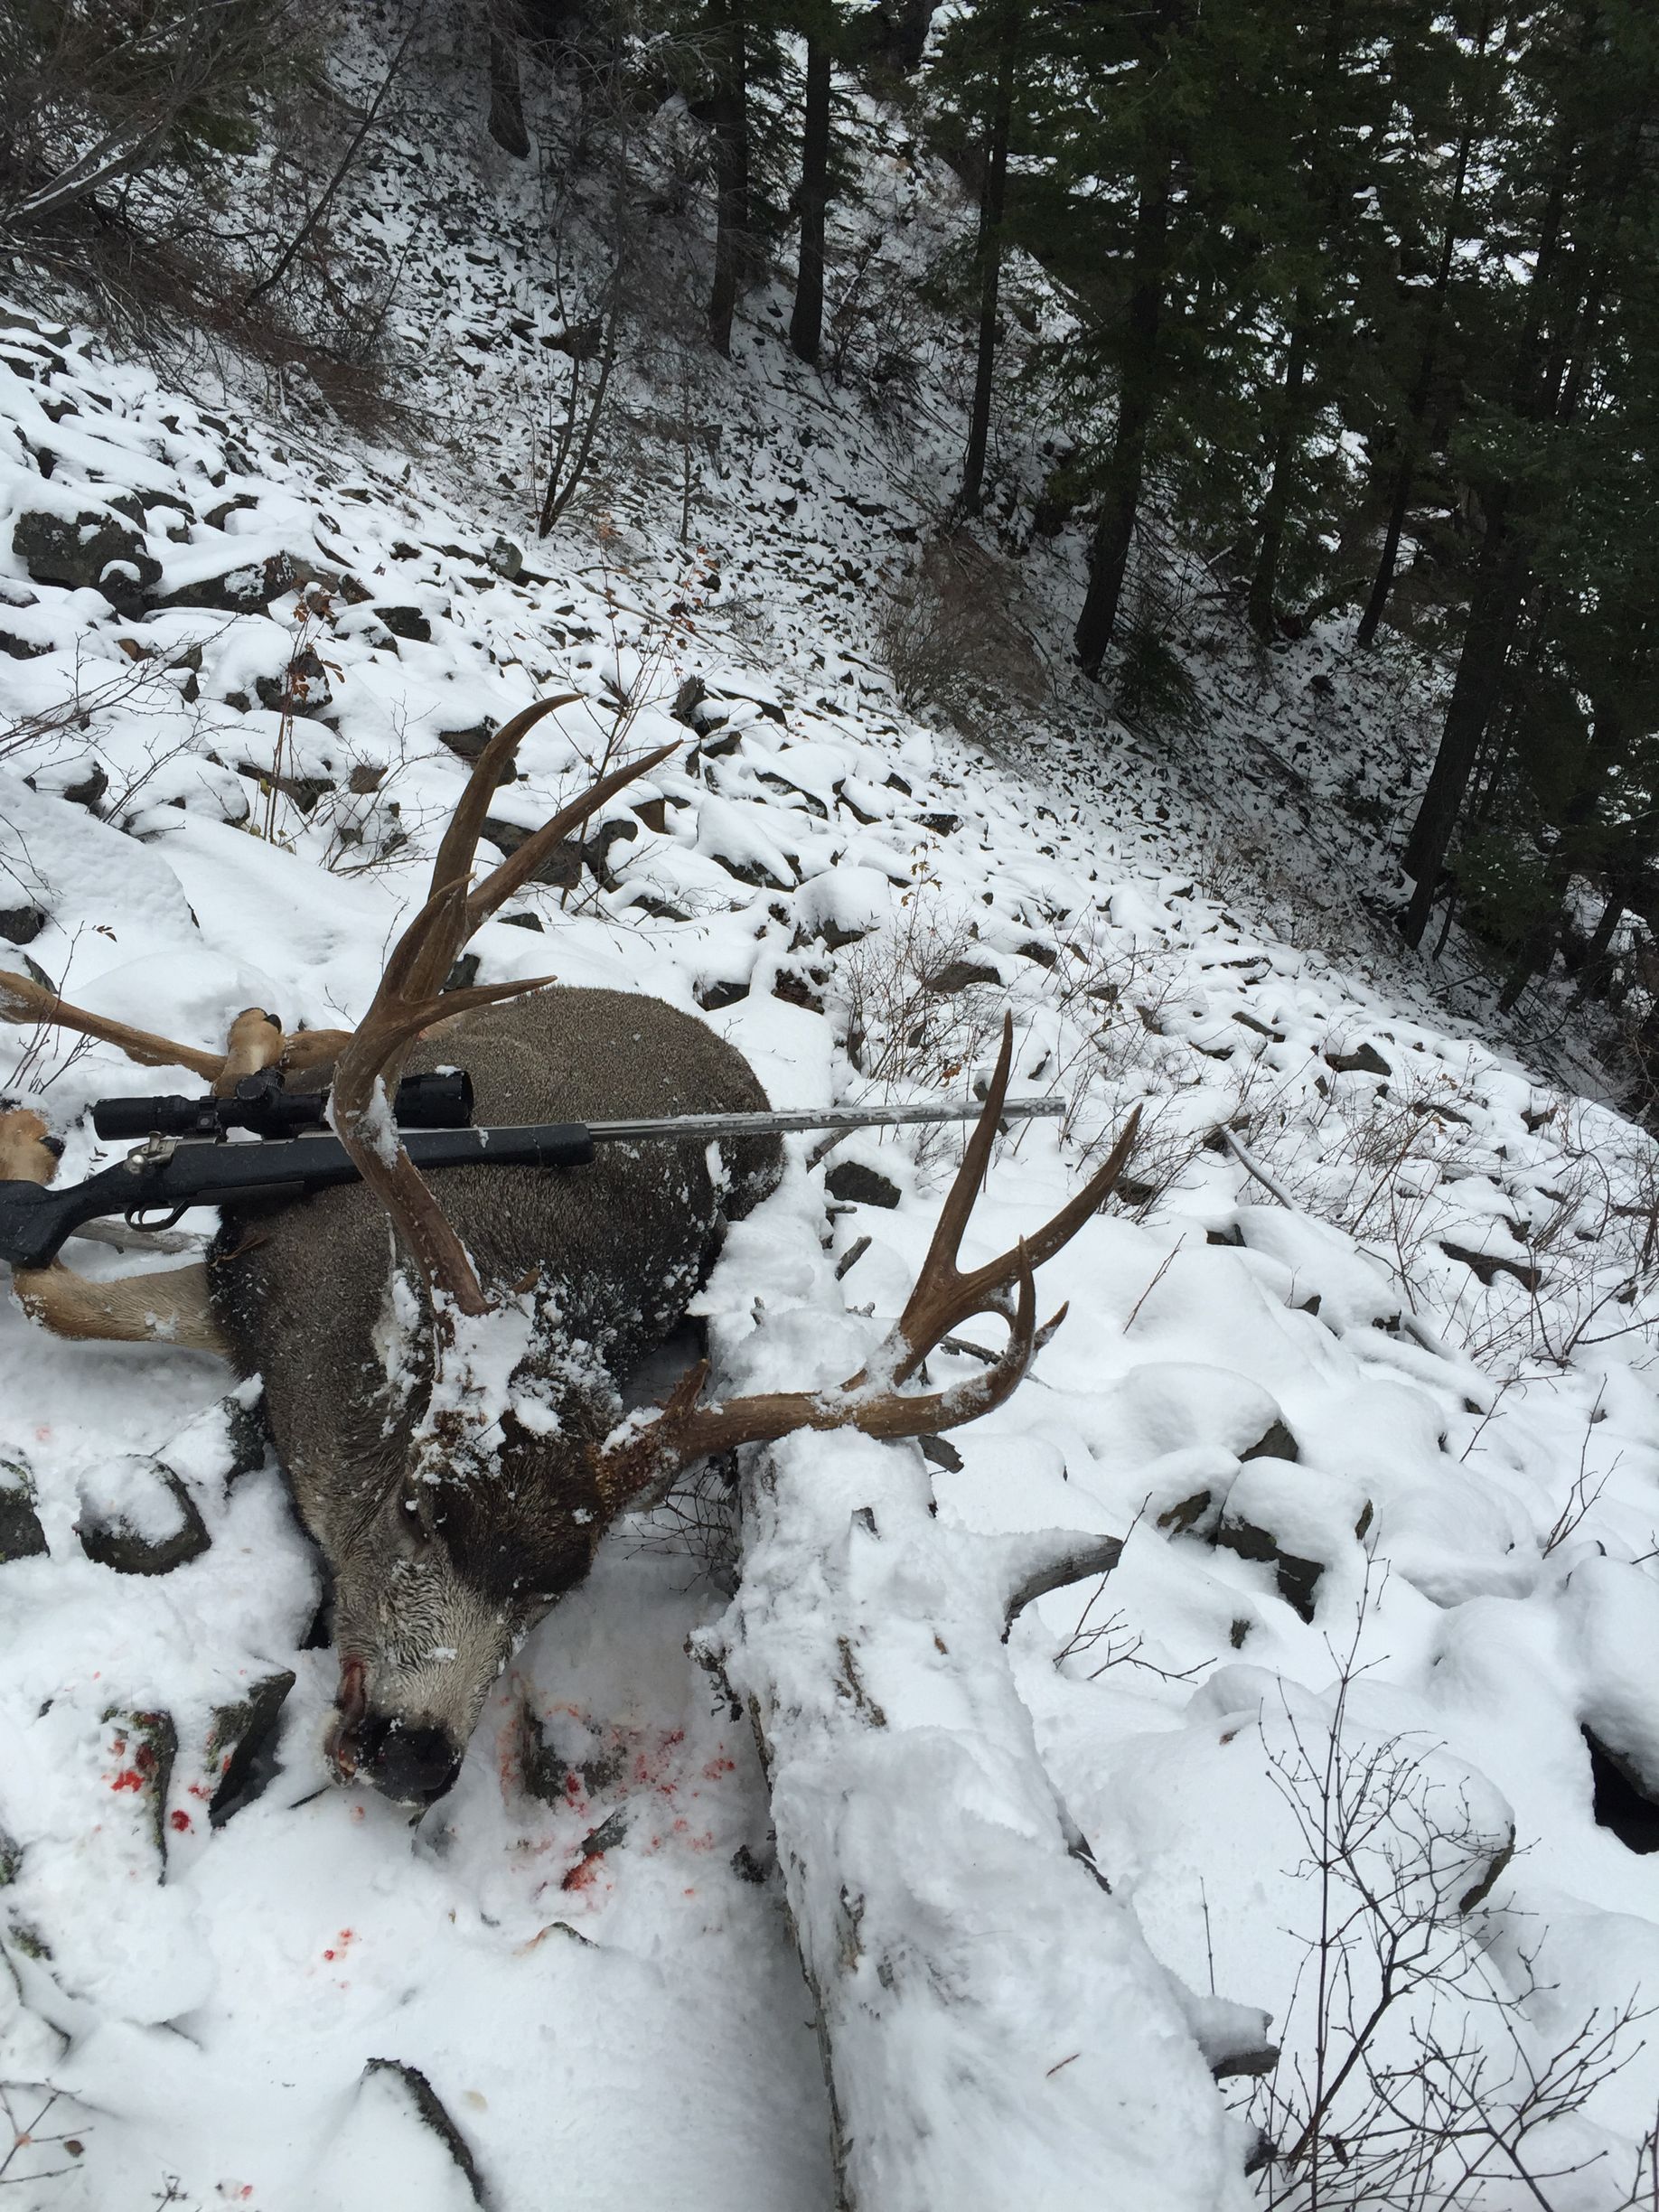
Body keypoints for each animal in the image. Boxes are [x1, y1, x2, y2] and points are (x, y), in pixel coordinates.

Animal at [0, 696, 1139, 1807]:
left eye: (562, 1583)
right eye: (423, 1503)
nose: (413, 1755)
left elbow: (58, 1283)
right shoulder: (265, 1278)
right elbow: (57, 1288)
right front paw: (49, 1159)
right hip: (418, 1051)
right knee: (288, 1053)